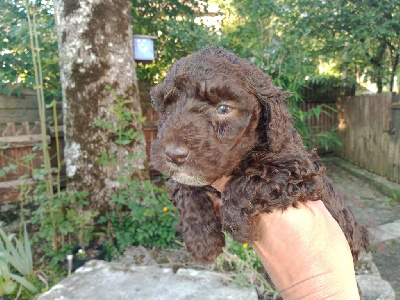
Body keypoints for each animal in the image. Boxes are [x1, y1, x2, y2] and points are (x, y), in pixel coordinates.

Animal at [150, 45, 368, 264]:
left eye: (223, 108)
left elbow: (250, 178)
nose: (173, 154)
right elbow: (183, 189)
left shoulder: (301, 169)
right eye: (168, 106)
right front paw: (202, 243)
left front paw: (239, 226)